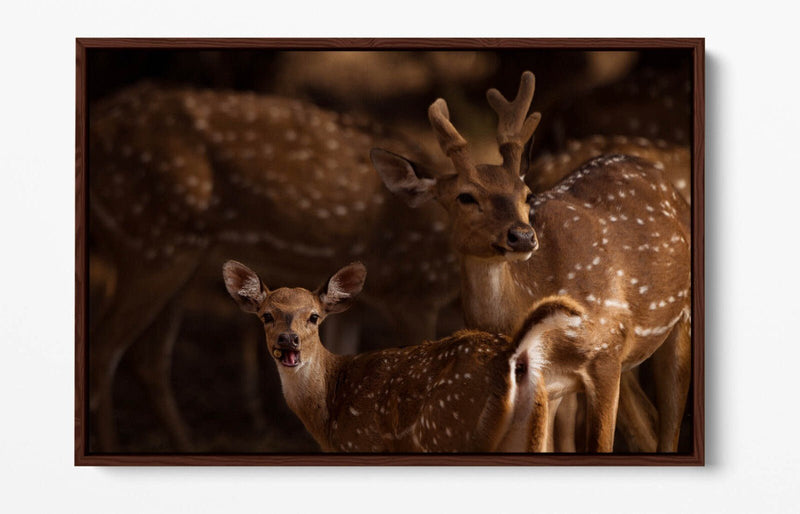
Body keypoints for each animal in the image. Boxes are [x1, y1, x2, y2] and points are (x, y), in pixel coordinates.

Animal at [222, 259, 599, 452]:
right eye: (266, 315)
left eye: (314, 316)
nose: (289, 340)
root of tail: (512, 354)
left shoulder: (362, 444)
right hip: (532, 430)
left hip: (449, 433)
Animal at [370, 71, 691, 452]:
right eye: (466, 197)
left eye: (525, 194)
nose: (522, 236)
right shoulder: (545, 386)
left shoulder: (606, 353)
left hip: (679, 319)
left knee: (668, 428)